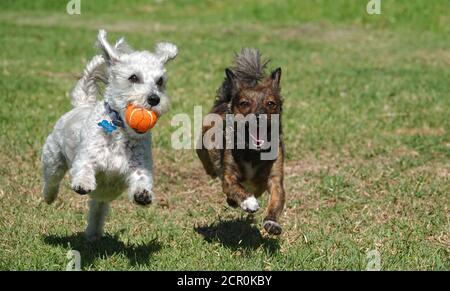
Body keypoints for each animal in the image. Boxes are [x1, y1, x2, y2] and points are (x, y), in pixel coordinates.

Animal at [41, 29, 177, 242]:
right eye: (133, 77)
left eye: (160, 81)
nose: (154, 99)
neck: (120, 130)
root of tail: (82, 104)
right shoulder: (87, 155)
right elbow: (84, 167)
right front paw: (82, 183)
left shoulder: (139, 165)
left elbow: (142, 178)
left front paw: (143, 194)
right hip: (53, 156)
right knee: (52, 179)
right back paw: (49, 196)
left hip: (100, 198)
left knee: (97, 210)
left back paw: (93, 234)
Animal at [196, 48, 284, 235]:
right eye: (244, 103)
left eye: (271, 104)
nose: (259, 117)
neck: (252, 151)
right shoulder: (228, 176)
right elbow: (236, 187)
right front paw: (248, 201)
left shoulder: (275, 179)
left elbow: (276, 201)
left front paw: (272, 222)